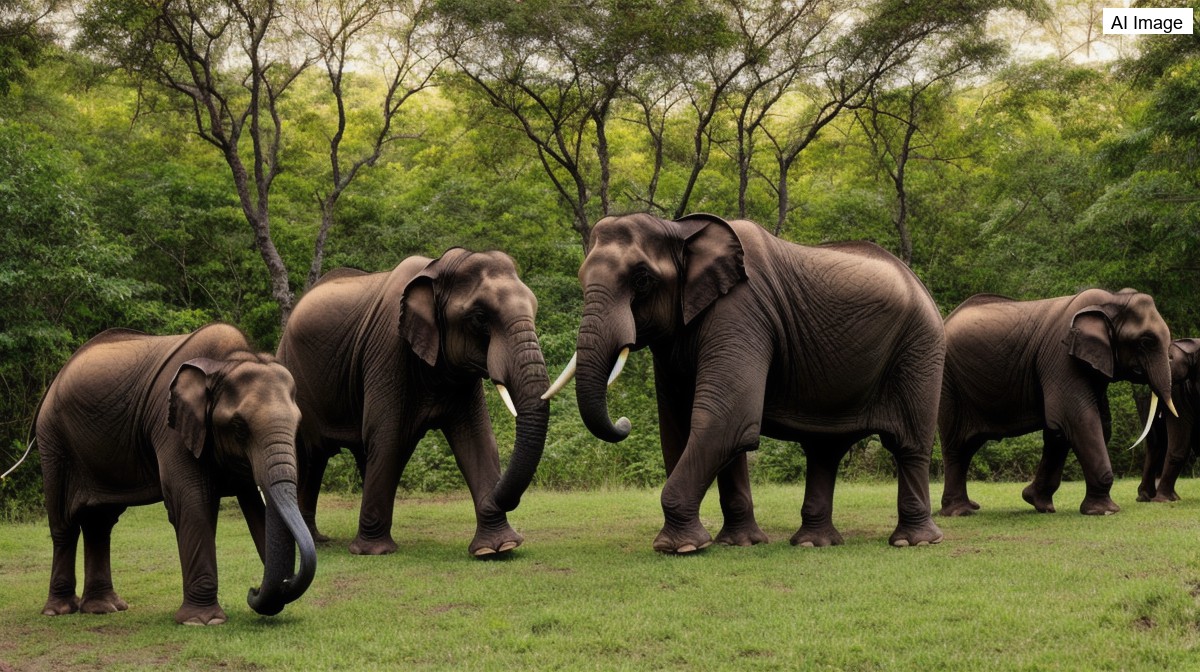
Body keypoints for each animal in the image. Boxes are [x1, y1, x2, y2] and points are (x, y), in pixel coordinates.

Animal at [35, 323, 315, 626]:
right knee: (64, 523)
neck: (228, 362)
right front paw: (203, 621)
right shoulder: (169, 424)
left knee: (100, 524)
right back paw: (59, 610)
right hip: (54, 442)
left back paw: (104, 608)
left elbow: (254, 505)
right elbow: (193, 501)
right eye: (240, 427)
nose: (252, 590)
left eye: (298, 423)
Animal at [276, 248, 550, 557]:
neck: (438, 270)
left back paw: (317, 539)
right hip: (291, 371)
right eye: (480, 318)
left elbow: (476, 438)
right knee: (307, 454)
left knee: (324, 456)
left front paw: (497, 548)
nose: (498, 499)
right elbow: (387, 435)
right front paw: (374, 552)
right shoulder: (388, 350)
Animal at [544, 212, 946, 551]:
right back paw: (812, 544)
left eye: (642, 280)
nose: (624, 422)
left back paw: (914, 542)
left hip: (921, 349)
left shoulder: (741, 311)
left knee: (908, 444)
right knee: (824, 450)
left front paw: (680, 548)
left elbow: (726, 419)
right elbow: (684, 428)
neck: (680, 230)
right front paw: (738, 544)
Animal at [938, 289, 1176, 517]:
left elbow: (1068, 430)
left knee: (968, 447)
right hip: (948, 383)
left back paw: (971, 506)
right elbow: (1076, 419)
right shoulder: (1062, 357)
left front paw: (1038, 503)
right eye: (1146, 342)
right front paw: (1106, 511)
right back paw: (960, 512)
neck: (1112, 299)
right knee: (956, 446)